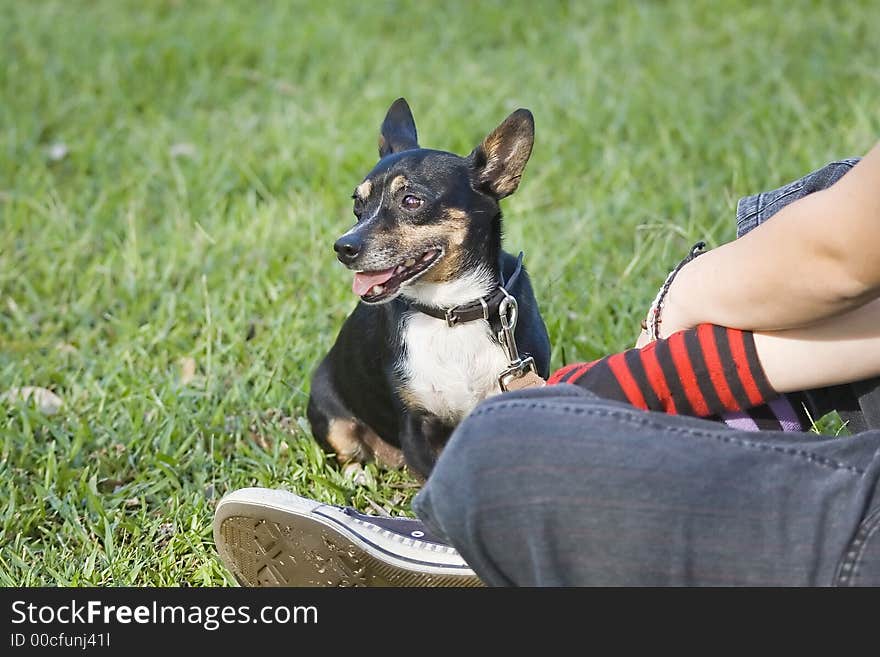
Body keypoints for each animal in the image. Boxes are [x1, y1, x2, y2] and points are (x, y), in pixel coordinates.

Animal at [306, 98, 548, 476]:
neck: (450, 309)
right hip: (328, 411)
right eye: (358, 205)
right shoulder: (415, 426)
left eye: (411, 201)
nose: (343, 247)